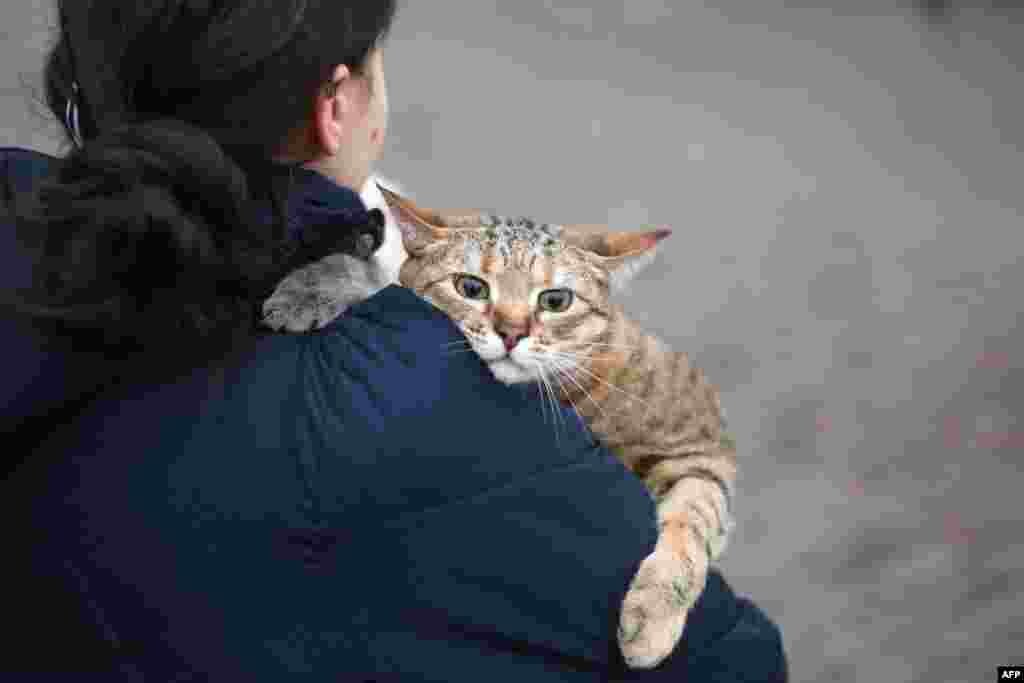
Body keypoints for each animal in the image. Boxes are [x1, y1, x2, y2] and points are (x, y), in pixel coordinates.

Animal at [260, 184, 733, 671]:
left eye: (555, 300)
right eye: (471, 288)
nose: (511, 332)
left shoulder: (701, 445)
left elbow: (694, 525)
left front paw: (653, 615)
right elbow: (376, 279)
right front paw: (311, 288)